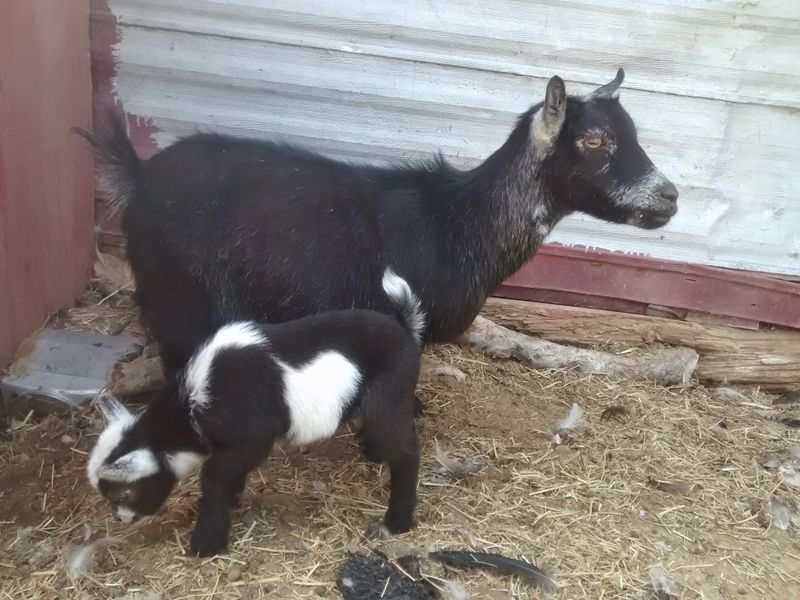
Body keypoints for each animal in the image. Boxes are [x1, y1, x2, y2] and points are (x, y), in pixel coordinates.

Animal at [87, 270, 424, 556]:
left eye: (123, 495)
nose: (121, 519)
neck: (195, 399)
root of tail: (404, 327)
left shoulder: (252, 437)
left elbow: (214, 478)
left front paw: (206, 542)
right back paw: (373, 453)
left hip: (388, 398)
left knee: (406, 452)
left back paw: (396, 522)